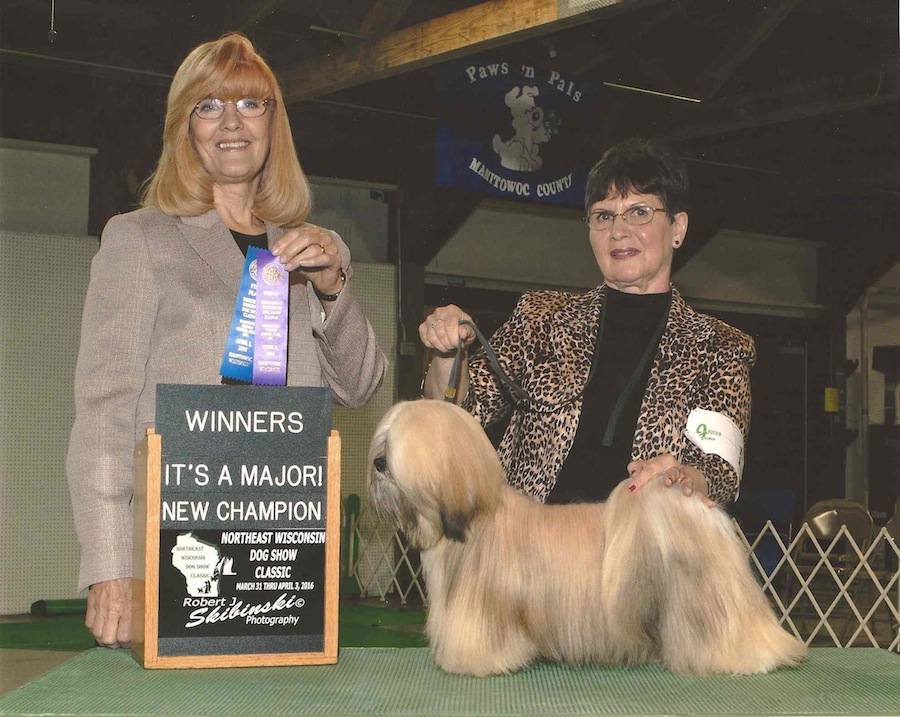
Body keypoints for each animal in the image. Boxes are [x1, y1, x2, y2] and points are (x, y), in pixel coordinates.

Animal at [370, 400, 804, 676]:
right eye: (383, 440)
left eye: (401, 448)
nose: (377, 462)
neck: (477, 518)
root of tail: (700, 510)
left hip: (707, 595)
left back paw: (760, 655)